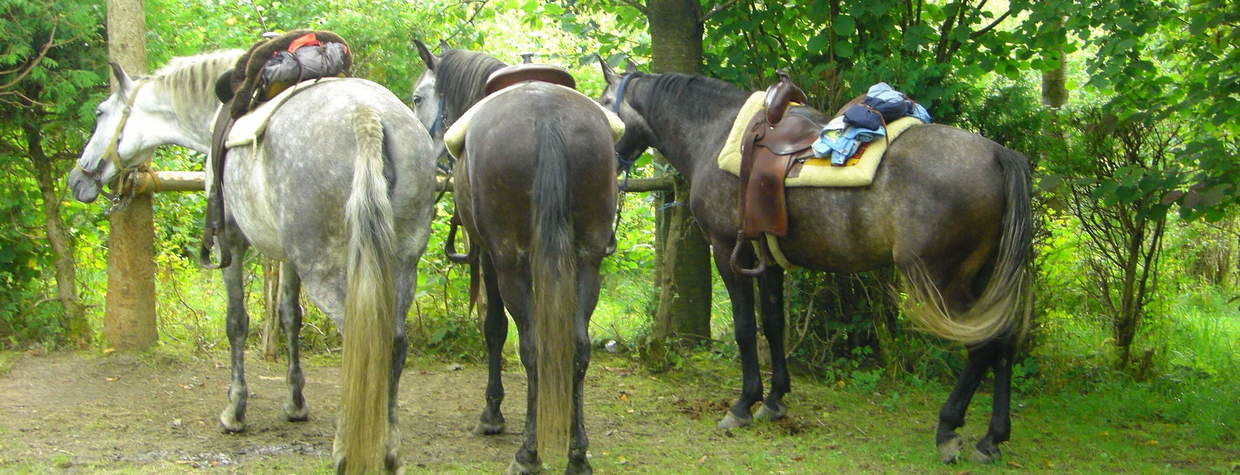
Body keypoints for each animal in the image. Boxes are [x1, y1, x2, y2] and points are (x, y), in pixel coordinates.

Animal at [67, 50, 438, 473]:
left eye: (100, 113)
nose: (78, 179)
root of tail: (367, 117)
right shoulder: (289, 257)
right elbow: (290, 317)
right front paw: (295, 404)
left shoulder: (231, 241)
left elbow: (237, 323)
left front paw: (234, 411)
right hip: (401, 264)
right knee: (394, 344)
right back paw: (390, 450)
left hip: (329, 269)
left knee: (361, 343)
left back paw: (346, 450)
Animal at [411, 42, 615, 473]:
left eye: (418, 98)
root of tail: (547, 116)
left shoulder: (491, 257)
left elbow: (494, 329)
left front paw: (492, 413)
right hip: (588, 261)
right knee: (579, 347)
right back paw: (577, 453)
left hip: (511, 263)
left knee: (532, 347)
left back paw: (528, 453)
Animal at [595, 63, 1031, 466]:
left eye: (602, 104)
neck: (715, 133)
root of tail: (999, 154)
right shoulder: (767, 260)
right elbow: (773, 324)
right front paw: (774, 400)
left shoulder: (728, 252)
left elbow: (744, 329)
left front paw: (743, 405)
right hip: (983, 278)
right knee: (1005, 342)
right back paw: (992, 438)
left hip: (944, 281)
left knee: (982, 346)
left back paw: (948, 430)